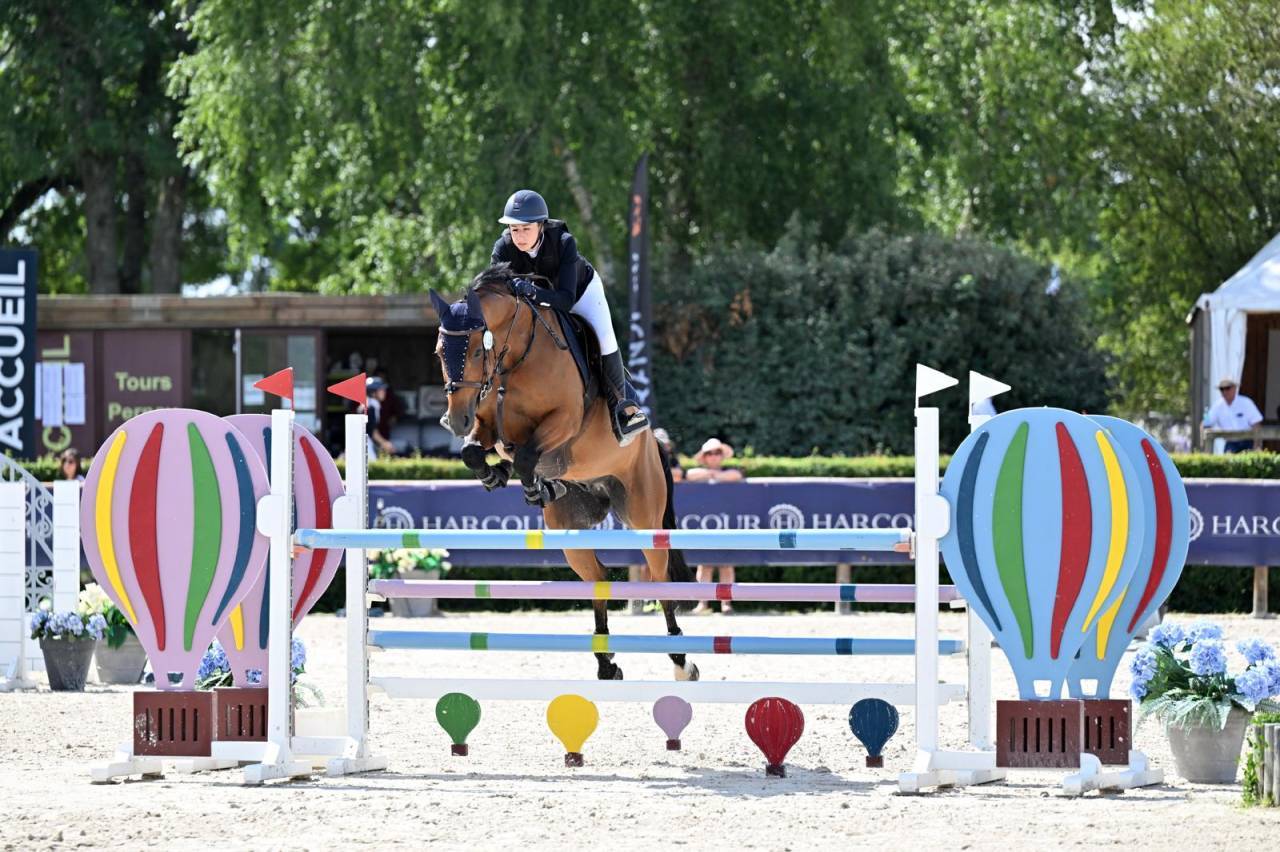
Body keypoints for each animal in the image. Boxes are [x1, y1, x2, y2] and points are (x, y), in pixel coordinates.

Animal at [428, 263, 699, 682]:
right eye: (440, 351)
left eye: (474, 349)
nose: (456, 419)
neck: (516, 357)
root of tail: (652, 442)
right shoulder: (489, 424)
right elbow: (475, 451)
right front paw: (498, 476)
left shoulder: (564, 421)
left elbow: (527, 455)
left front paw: (529, 484)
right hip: (569, 531)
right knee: (599, 578)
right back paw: (607, 663)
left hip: (643, 513)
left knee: (661, 580)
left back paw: (681, 661)